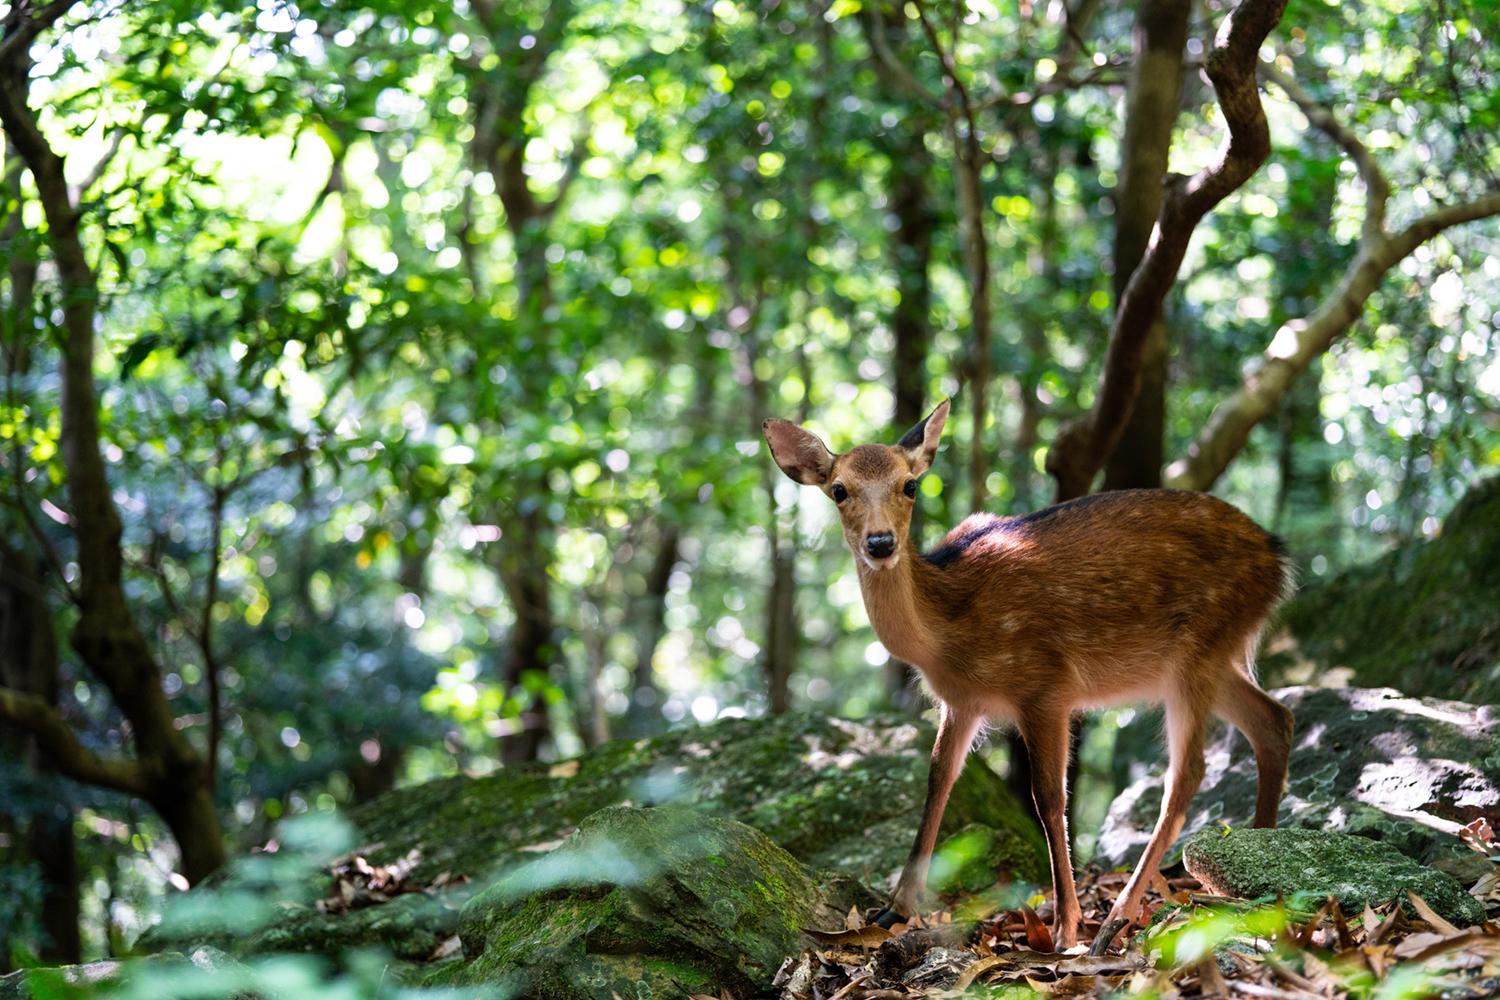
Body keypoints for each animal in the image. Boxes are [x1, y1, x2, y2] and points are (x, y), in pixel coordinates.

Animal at [768, 395, 1296, 947]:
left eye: (909, 485)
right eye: (839, 490)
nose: (880, 543)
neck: (945, 634)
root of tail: (1278, 560)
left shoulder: (1045, 684)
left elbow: (1047, 798)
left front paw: (1065, 927)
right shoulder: (961, 702)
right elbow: (938, 781)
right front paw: (894, 909)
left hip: (1197, 651)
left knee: (1188, 771)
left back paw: (1118, 915)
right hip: (1212, 656)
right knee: (1273, 720)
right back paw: (1259, 857)